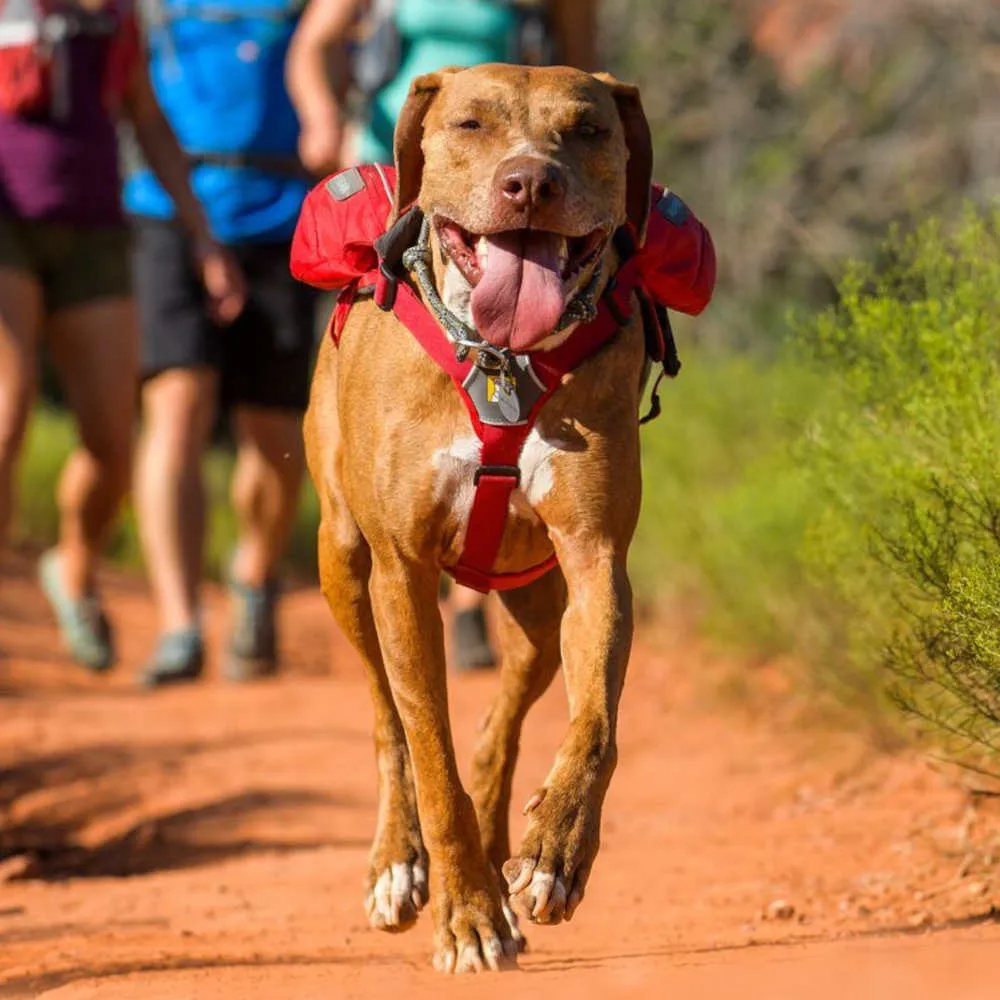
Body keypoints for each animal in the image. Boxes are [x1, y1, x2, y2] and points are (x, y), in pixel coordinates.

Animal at [300, 62, 652, 968]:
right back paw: (400, 863)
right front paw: (464, 913)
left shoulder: (596, 560)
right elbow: (427, 746)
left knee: (504, 721)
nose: (530, 183)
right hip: (342, 560)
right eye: (470, 124)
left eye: (588, 130)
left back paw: (505, 855)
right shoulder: (401, 574)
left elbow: (596, 725)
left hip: (538, 603)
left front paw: (555, 853)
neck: (502, 360)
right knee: (387, 720)